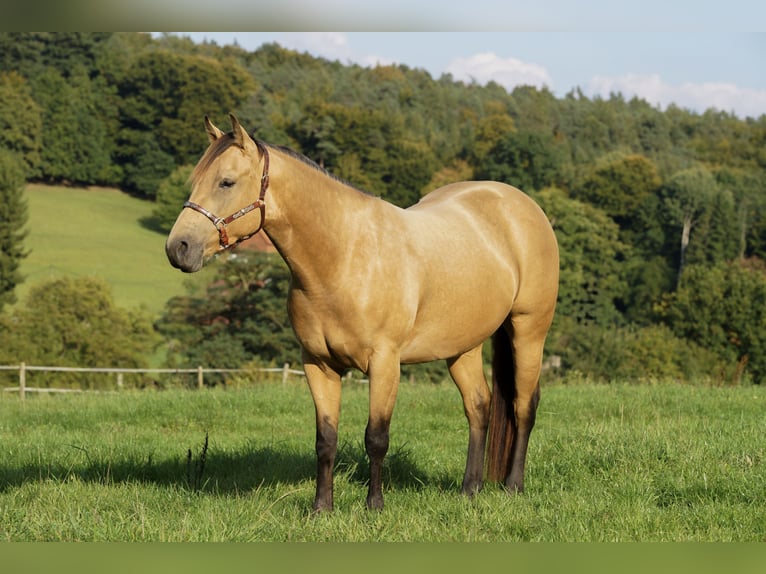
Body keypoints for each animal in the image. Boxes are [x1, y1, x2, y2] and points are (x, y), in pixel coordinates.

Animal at [165, 114, 559, 512]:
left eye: (226, 182)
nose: (178, 248)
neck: (344, 257)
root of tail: (519, 204)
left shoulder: (384, 363)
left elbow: (376, 437)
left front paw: (374, 506)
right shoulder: (318, 364)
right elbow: (326, 439)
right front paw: (321, 508)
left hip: (529, 332)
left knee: (524, 406)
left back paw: (513, 485)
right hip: (463, 346)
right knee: (479, 406)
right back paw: (470, 489)